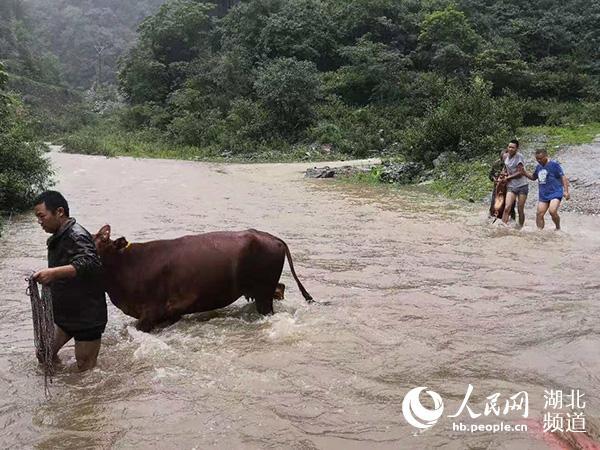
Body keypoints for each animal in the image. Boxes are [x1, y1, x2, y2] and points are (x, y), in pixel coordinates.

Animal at [93, 225, 313, 332]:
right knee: (281, 288)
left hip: (263, 292)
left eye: (99, 244)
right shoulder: (170, 313)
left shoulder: (150, 313)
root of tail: (274, 238)